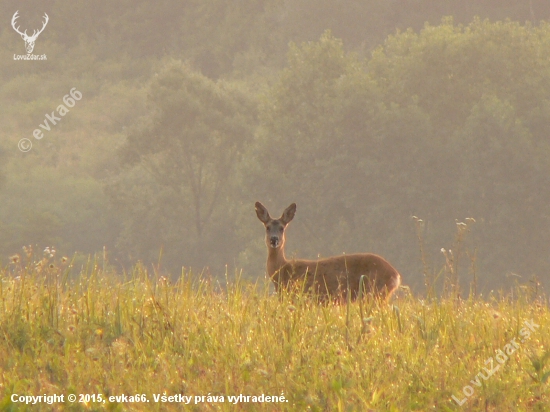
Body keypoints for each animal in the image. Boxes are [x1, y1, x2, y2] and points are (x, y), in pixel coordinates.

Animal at [256, 203, 404, 302]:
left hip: (375, 292)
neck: (283, 271)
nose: (274, 239)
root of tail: (395, 275)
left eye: (282, 228)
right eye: (267, 227)